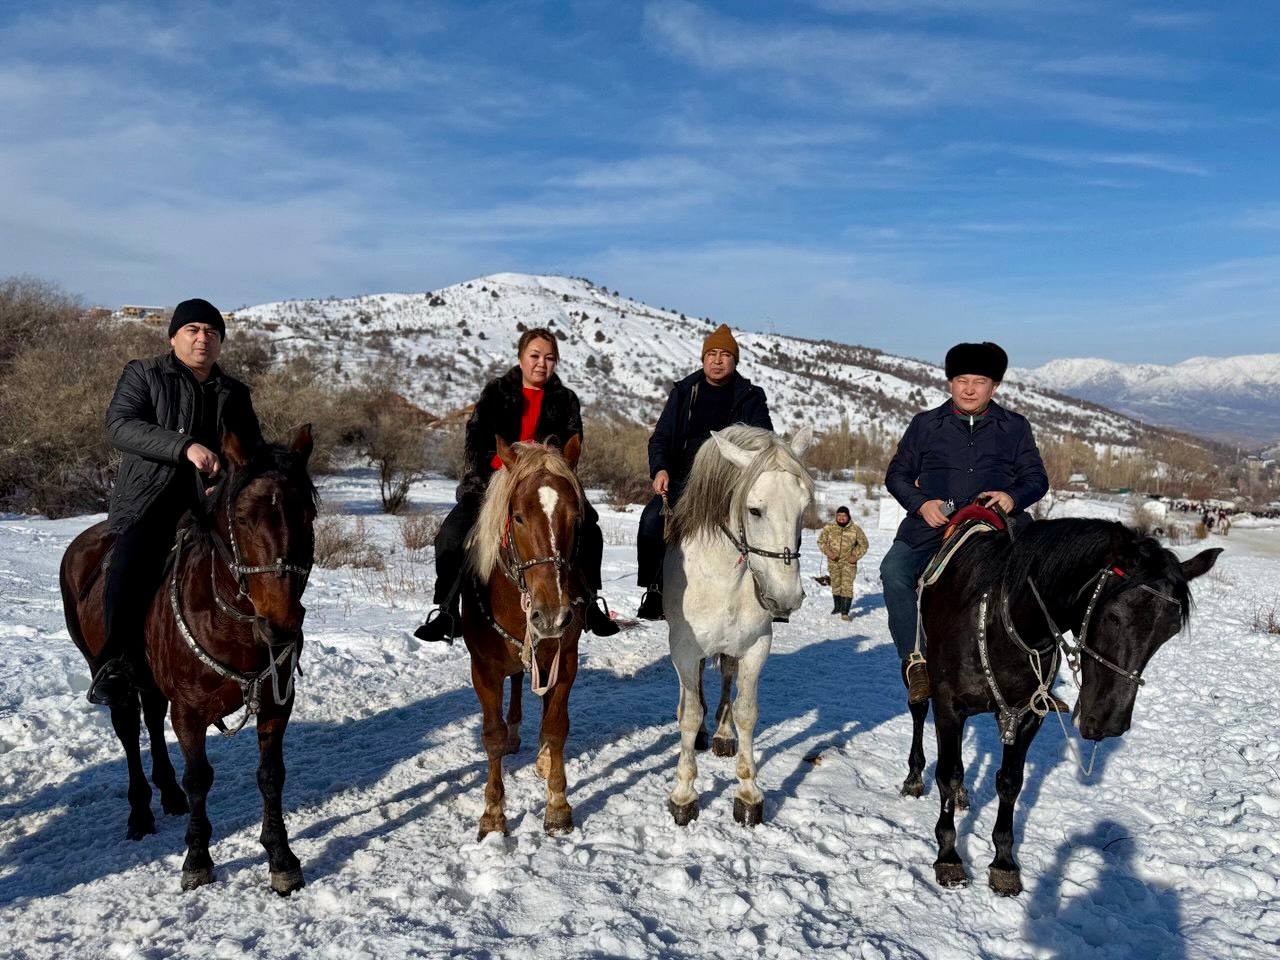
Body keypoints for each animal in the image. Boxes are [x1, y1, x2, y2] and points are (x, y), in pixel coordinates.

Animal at [59, 426, 316, 894]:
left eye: (307, 515)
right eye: (243, 518)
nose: (281, 624)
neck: (229, 620)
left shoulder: (276, 704)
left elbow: (271, 775)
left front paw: (281, 856)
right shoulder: (190, 711)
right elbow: (199, 777)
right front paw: (197, 857)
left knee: (152, 720)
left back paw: (168, 796)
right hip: (105, 671)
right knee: (129, 731)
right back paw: (140, 812)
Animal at [462, 434, 589, 840]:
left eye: (576, 517)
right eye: (517, 516)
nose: (551, 616)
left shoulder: (565, 660)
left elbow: (556, 725)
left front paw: (558, 805)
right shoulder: (483, 669)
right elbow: (492, 736)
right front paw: (492, 814)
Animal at [663, 424, 814, 826]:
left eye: (803, 508)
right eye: (754, 510)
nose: (786, 597)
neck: (722, 579)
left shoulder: (756, 647)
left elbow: (747, 711)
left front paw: (748, 793)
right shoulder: (683, 650)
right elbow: (690, 714)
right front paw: (684, 794)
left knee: (726, 681)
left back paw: (722, 734)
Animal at [906, 516, 1221, 895]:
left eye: (1169, 631)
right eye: (1113, 616)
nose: (1109, 722)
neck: (1001, 623)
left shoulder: (1027, 716)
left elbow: (1010, 782)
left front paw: (1004, 862)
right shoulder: (949, 708)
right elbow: (949, 774)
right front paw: (949, 856)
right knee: (918, 711)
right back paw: (914, 776)